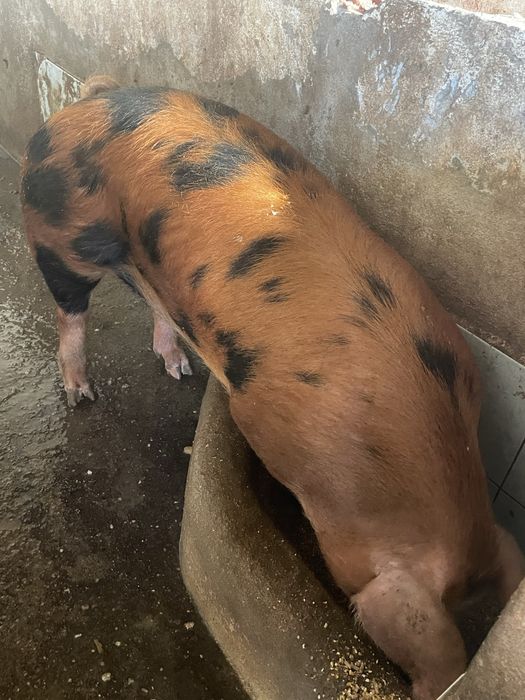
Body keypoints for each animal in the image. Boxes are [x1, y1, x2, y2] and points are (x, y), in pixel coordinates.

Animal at [20, 75, 524, 700]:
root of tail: (87, 101)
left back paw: (178, 368)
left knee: (155, 302)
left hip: (144, 260)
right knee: (70, 310)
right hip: (61, 232)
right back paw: (79, 394)